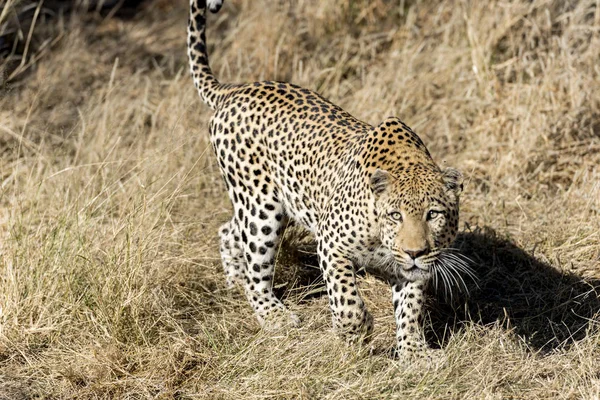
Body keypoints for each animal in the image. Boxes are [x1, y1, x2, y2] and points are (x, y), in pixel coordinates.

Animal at [188, 0, 474, 360]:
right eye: (396, 215)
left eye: (433, 214)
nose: (414, 251)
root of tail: (236, 89)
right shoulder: (331, 243)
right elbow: (346, 299)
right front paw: (353, 332)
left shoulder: (415, 269)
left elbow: (410, 308)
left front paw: (414, 354)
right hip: (261, 208)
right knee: (256, 260)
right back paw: (272, 314)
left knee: (227, 231)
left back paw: (234, 281)